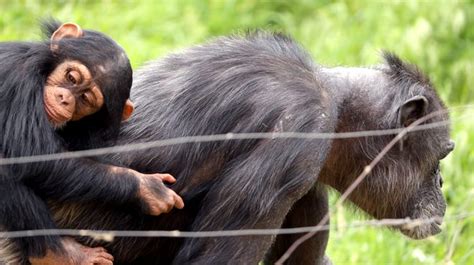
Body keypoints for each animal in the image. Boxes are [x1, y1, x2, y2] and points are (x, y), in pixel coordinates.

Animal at [0, 21, 183, 264]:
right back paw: (60, 254)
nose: (65, 99)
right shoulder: (19, 79)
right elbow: (35, 156)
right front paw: (145, 187)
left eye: (85, 99)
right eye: (71, 78)